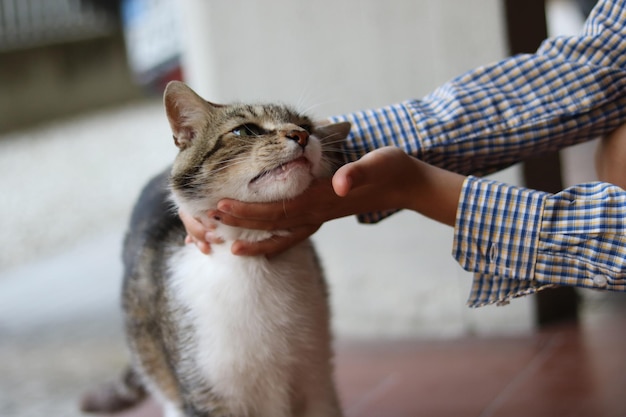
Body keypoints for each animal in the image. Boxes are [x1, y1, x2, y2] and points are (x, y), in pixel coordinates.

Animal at [80, 81, 348, 416]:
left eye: (306, 126)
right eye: (245, 130)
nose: (300, 135)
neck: (253, 259)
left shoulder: (318, 384)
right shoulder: (207, 395)